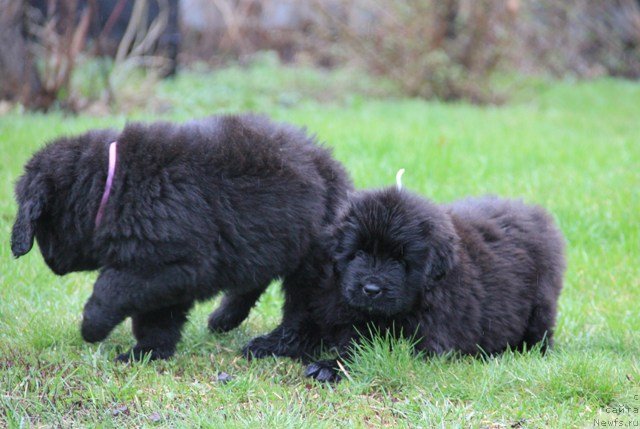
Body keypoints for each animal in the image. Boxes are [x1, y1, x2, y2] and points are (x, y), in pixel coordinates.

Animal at [10, 114, 352, 362]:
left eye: (42, 225)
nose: (51, 264)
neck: (113, 185)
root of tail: (332, 167)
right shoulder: (166, 271)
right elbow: (157, 317)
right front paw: (148, 353)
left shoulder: (168, 264)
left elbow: (111, 288)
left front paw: (92, 327)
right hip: (267, 242)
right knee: (254, 280)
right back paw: (224, 318)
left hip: (310, 259)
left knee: (301, 309)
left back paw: (273, 345)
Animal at [304, 175, 564, 382]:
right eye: (358, 253)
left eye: (400, 260)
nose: (371, 289)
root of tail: (534, 214)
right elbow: (355, 341)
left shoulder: (427, 340)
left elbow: (374, 352)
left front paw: (329, 367)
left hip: (541, 304)